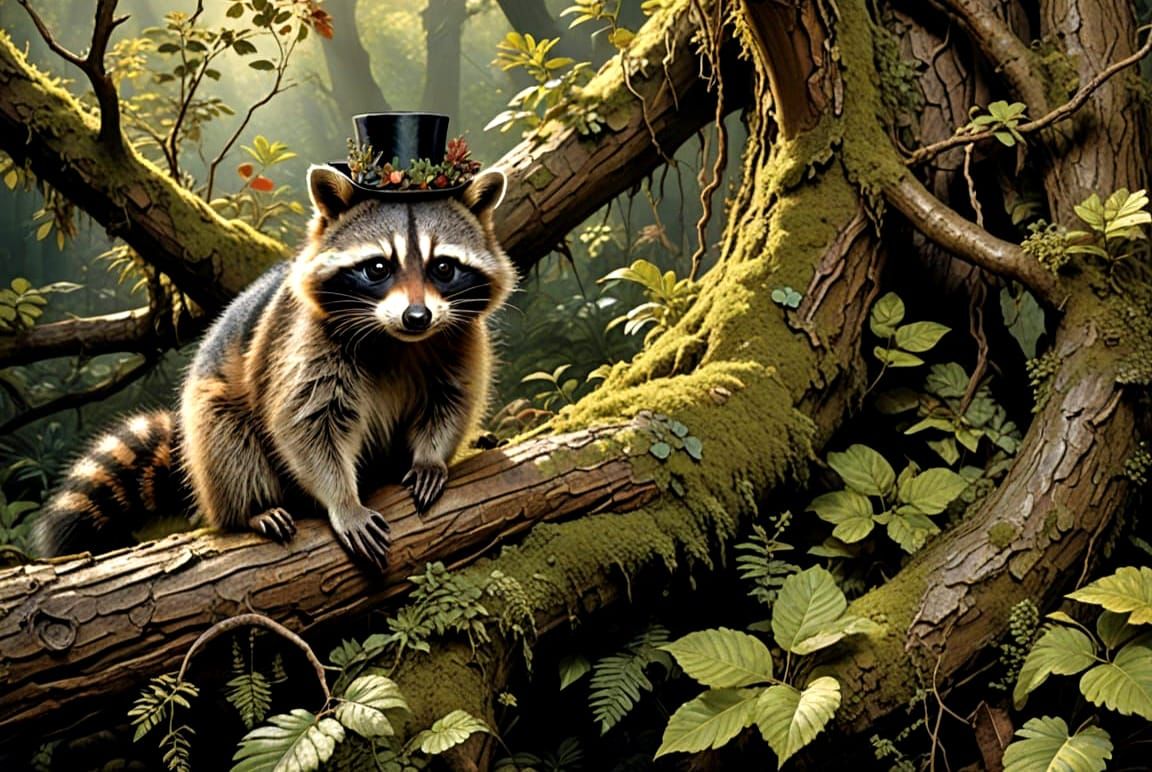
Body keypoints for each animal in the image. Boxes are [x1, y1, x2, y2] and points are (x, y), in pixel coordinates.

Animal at [33, 165, 515, 569]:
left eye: (444, 268)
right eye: (378, 267)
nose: (417, 318)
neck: (397, 340)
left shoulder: (458, 342)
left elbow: (451, 401)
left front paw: (431, 456)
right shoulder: (303, 344)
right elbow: (304, 426)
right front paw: (342, 500)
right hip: (211, 415)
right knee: (228, 443)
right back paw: (251, 509)